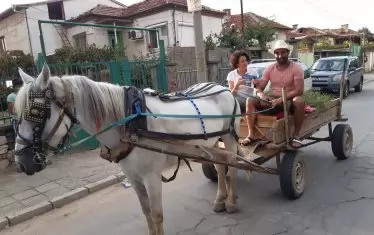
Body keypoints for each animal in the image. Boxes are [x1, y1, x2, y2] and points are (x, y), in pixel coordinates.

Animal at [13, 64, 243, 235]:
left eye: (36, 112)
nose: (22, 163)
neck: (130, 123)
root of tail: (223, 88)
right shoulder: (133, 177)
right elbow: (146, 212)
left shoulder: (151, 177)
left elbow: (157, 215)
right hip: (212, 143)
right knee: (221, 166)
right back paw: (219, 200)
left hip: (229, 136)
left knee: (232, 166)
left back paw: (231, 203)